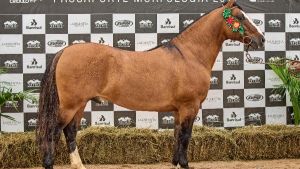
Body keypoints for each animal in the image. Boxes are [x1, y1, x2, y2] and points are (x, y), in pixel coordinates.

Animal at [36, 0, 264, 168]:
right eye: (240, 17)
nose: (261, 39)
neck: (189, 55)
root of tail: (65, 51)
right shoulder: (189, 107)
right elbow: (185, 137)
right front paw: (184, 164)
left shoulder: (178, 110)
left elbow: (177, 136)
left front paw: (176, 163)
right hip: (70, 105)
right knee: (53, 132)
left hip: (79, 104)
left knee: (70, 132)